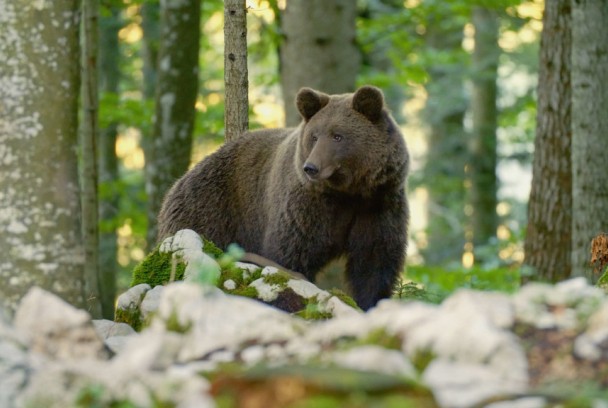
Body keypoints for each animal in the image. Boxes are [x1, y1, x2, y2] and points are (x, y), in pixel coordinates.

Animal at [159, 86, 410, 310]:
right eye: (314, 136)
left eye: (338, 135)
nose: (311, 167)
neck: (347, 192)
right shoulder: (306, 208)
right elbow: (290, 254)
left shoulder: (378, 205)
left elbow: (374, 262)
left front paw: (369, 302)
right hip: (210, 206)